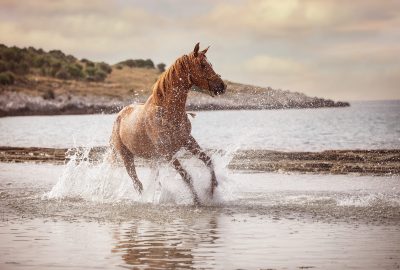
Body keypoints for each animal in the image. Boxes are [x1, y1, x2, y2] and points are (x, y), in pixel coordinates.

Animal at [109, 43, 227, 206]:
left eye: (210, 64)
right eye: (203, 65)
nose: (222, 86)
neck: (167, 113)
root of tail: (120, 116)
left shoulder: (187, 141)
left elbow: (207, 160)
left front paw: (212, 190)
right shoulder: (167, 153)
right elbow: (186, 176)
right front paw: (197, 201)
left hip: (151, 158)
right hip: (127, 157)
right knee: (137, 183)